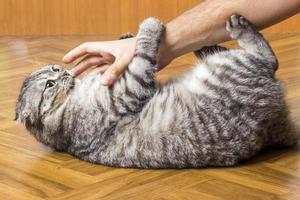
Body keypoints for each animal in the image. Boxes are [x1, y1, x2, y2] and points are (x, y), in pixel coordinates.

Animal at [14, 14, 298, 168]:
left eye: (54, 69)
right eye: (49, 85)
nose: (63, 72)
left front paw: (124, 39)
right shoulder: (130, 86)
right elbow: (142, 51)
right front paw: (148, 28)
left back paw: (205, 44)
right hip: (232, 67)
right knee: (268, 58)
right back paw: (237, 26)